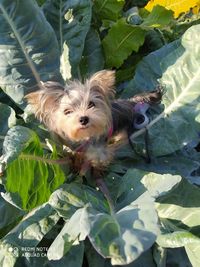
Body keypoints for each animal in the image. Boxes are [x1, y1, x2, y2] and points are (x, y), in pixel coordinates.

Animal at [25, 70, 162, 173]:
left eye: (91, 104)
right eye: (67, 111)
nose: (83, 119)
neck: (85, 136)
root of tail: (132, 103)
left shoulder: (99, 151)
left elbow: (98, 158)